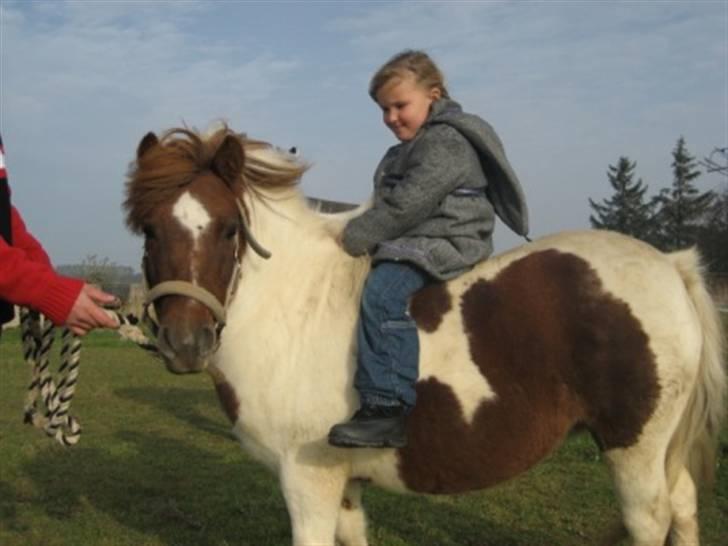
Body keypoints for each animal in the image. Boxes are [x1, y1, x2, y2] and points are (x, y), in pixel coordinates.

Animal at [123, 125, 726, 546]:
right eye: (150, 230)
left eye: (229, 230)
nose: (185, 343)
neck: (291, 307)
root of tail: (670, 266)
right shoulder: (342, 484)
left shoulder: (307, 481)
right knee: (685, 507)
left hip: (634, 448)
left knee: (651, 519)